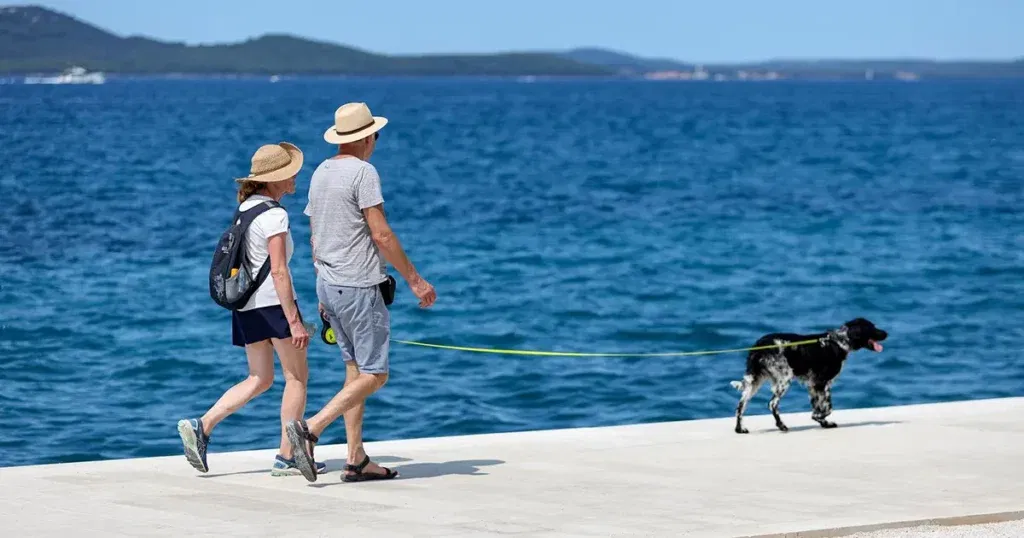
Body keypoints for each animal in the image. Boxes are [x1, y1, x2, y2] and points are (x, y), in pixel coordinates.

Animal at [729, 317, 888, 434]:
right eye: (872, 328)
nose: (886, 333)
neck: (838, 341)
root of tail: (759, 346)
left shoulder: (813, 385)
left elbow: (817, 406)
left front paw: (823, 422)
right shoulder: (822, 382)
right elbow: (828, 407)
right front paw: (820, 417)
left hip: (755, 382)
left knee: (740, 405)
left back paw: (739, 429)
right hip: (784, 379)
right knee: (772, 404)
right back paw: (781, 425)